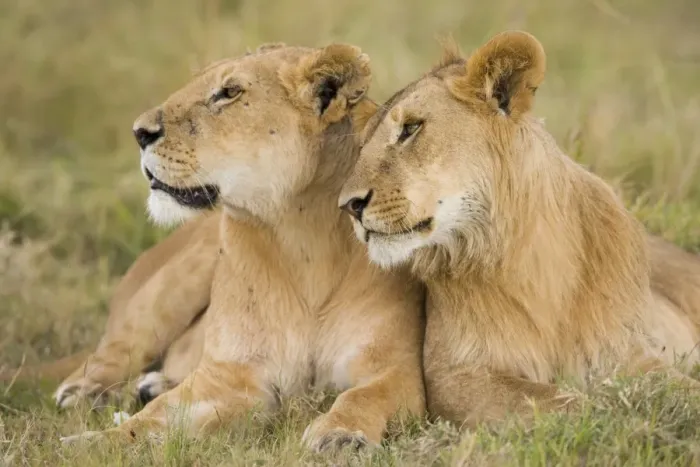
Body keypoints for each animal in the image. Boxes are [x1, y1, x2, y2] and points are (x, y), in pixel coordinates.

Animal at [55, 42, 426, 451]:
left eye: (229, 92)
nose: (139, 132)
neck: (302, 237)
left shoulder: (396, 368)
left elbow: (361, 396)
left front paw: (340, 435)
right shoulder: (226, 375)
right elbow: (152, 418)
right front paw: (89, 443)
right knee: (114, 350)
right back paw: (84, 393)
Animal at [338, 31, 700, 426]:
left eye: (411, 128)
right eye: (362, 147)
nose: (348, 205)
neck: (526, 253)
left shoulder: (624, 350)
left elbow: (679, 389)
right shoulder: (454, 374)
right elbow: (567, 402)